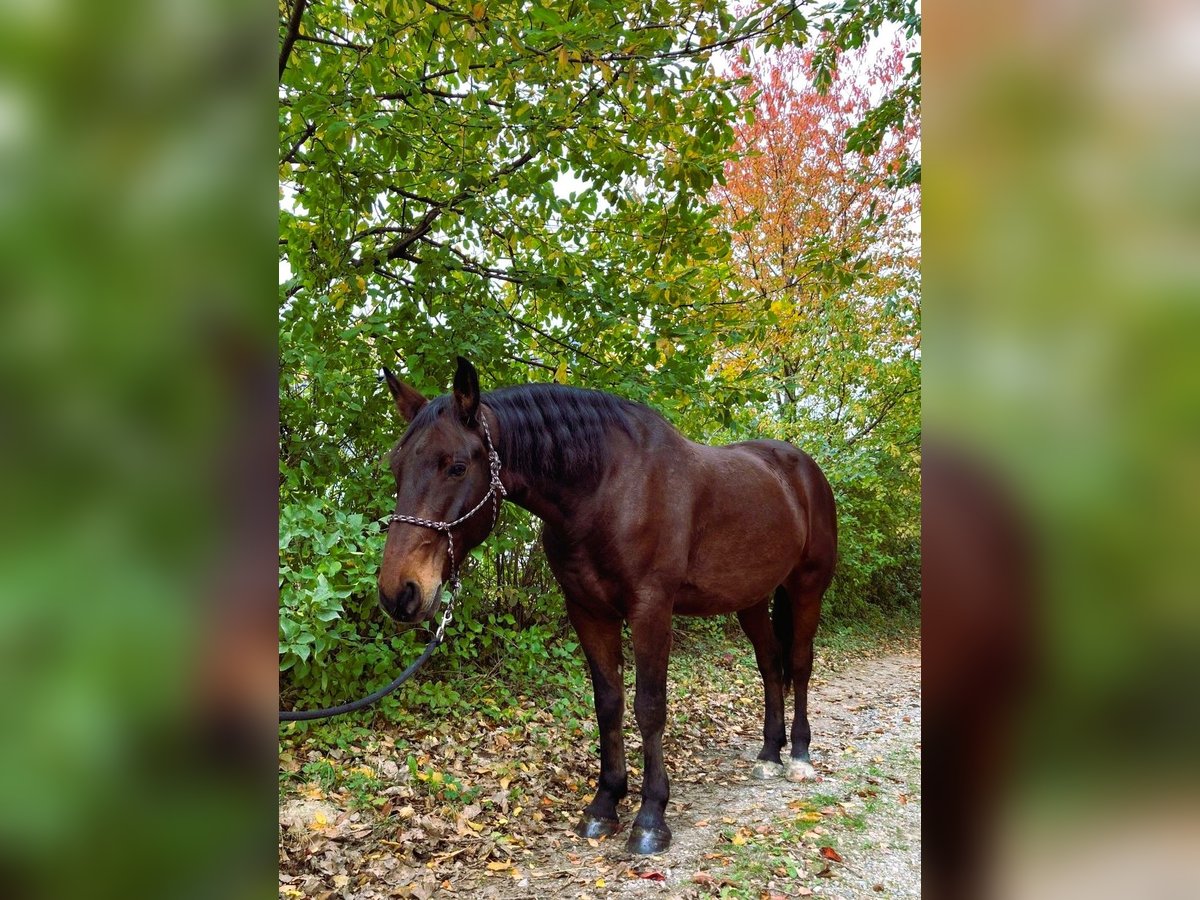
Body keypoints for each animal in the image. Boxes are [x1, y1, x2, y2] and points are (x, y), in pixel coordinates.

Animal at [379, 355, 840, 854]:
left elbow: (649, 707)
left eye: (457, 467)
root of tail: (803, 469)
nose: (399, 592)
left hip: (806, 588)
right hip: (751, 599)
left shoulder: (650, 611)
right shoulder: (589, 612)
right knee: (771, 665)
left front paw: (651, 817)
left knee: (799, 664)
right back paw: (769, 754)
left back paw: (799, 757)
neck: (607, 488)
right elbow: (609, 703)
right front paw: (604, 805)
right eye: (397, 466)